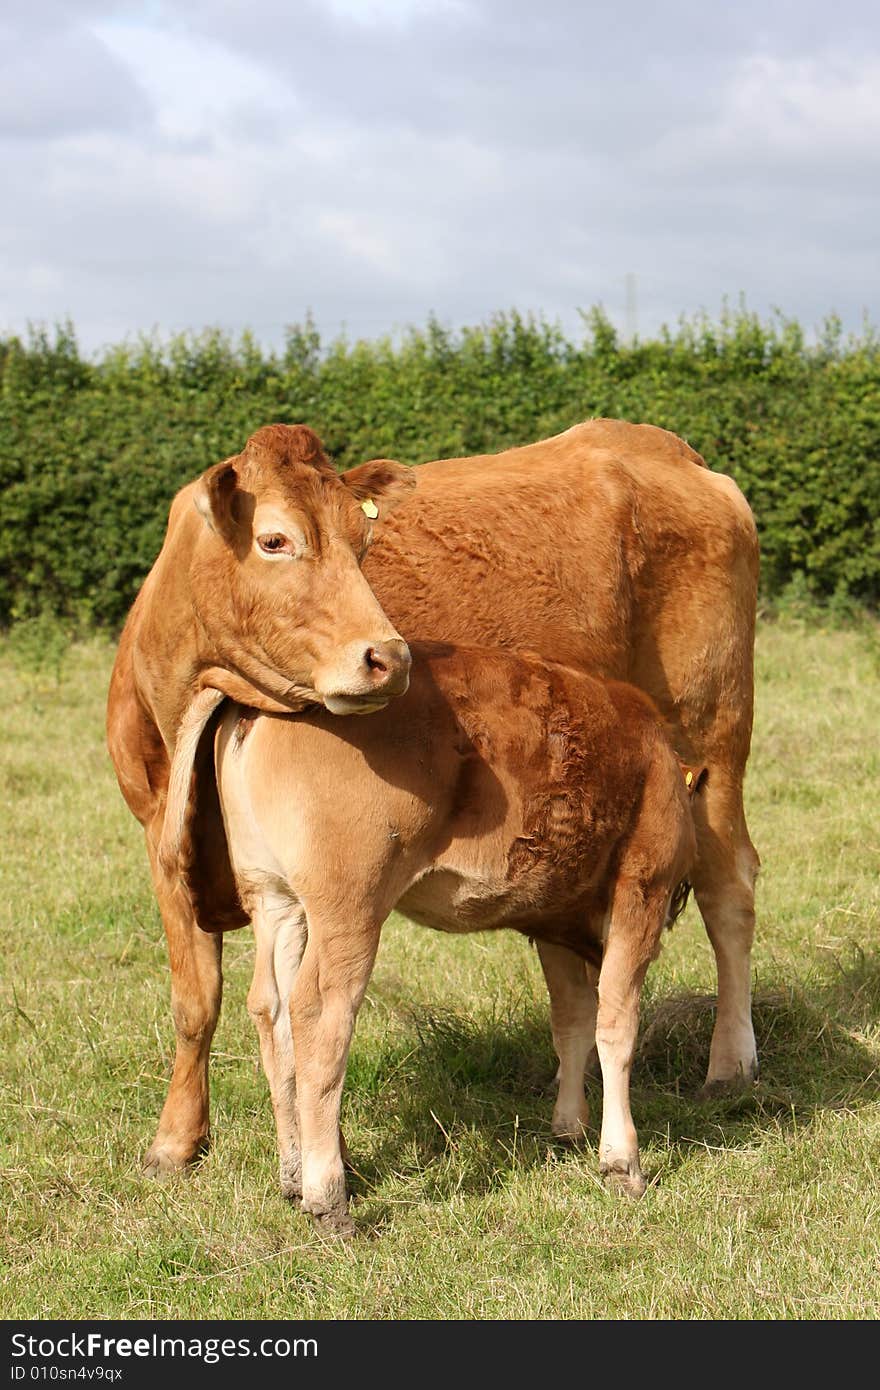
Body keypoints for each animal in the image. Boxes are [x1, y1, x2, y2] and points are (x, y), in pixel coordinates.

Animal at [106, 417, 756, 1178]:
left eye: (362, 544)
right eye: (274, 540)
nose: (389, 658)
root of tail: (661, 448)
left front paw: (325, 1158)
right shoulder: (164, 841)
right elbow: (196, 999)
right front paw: (179, 1138)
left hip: (711, 736)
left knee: (729, 889)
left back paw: (730, 1063)